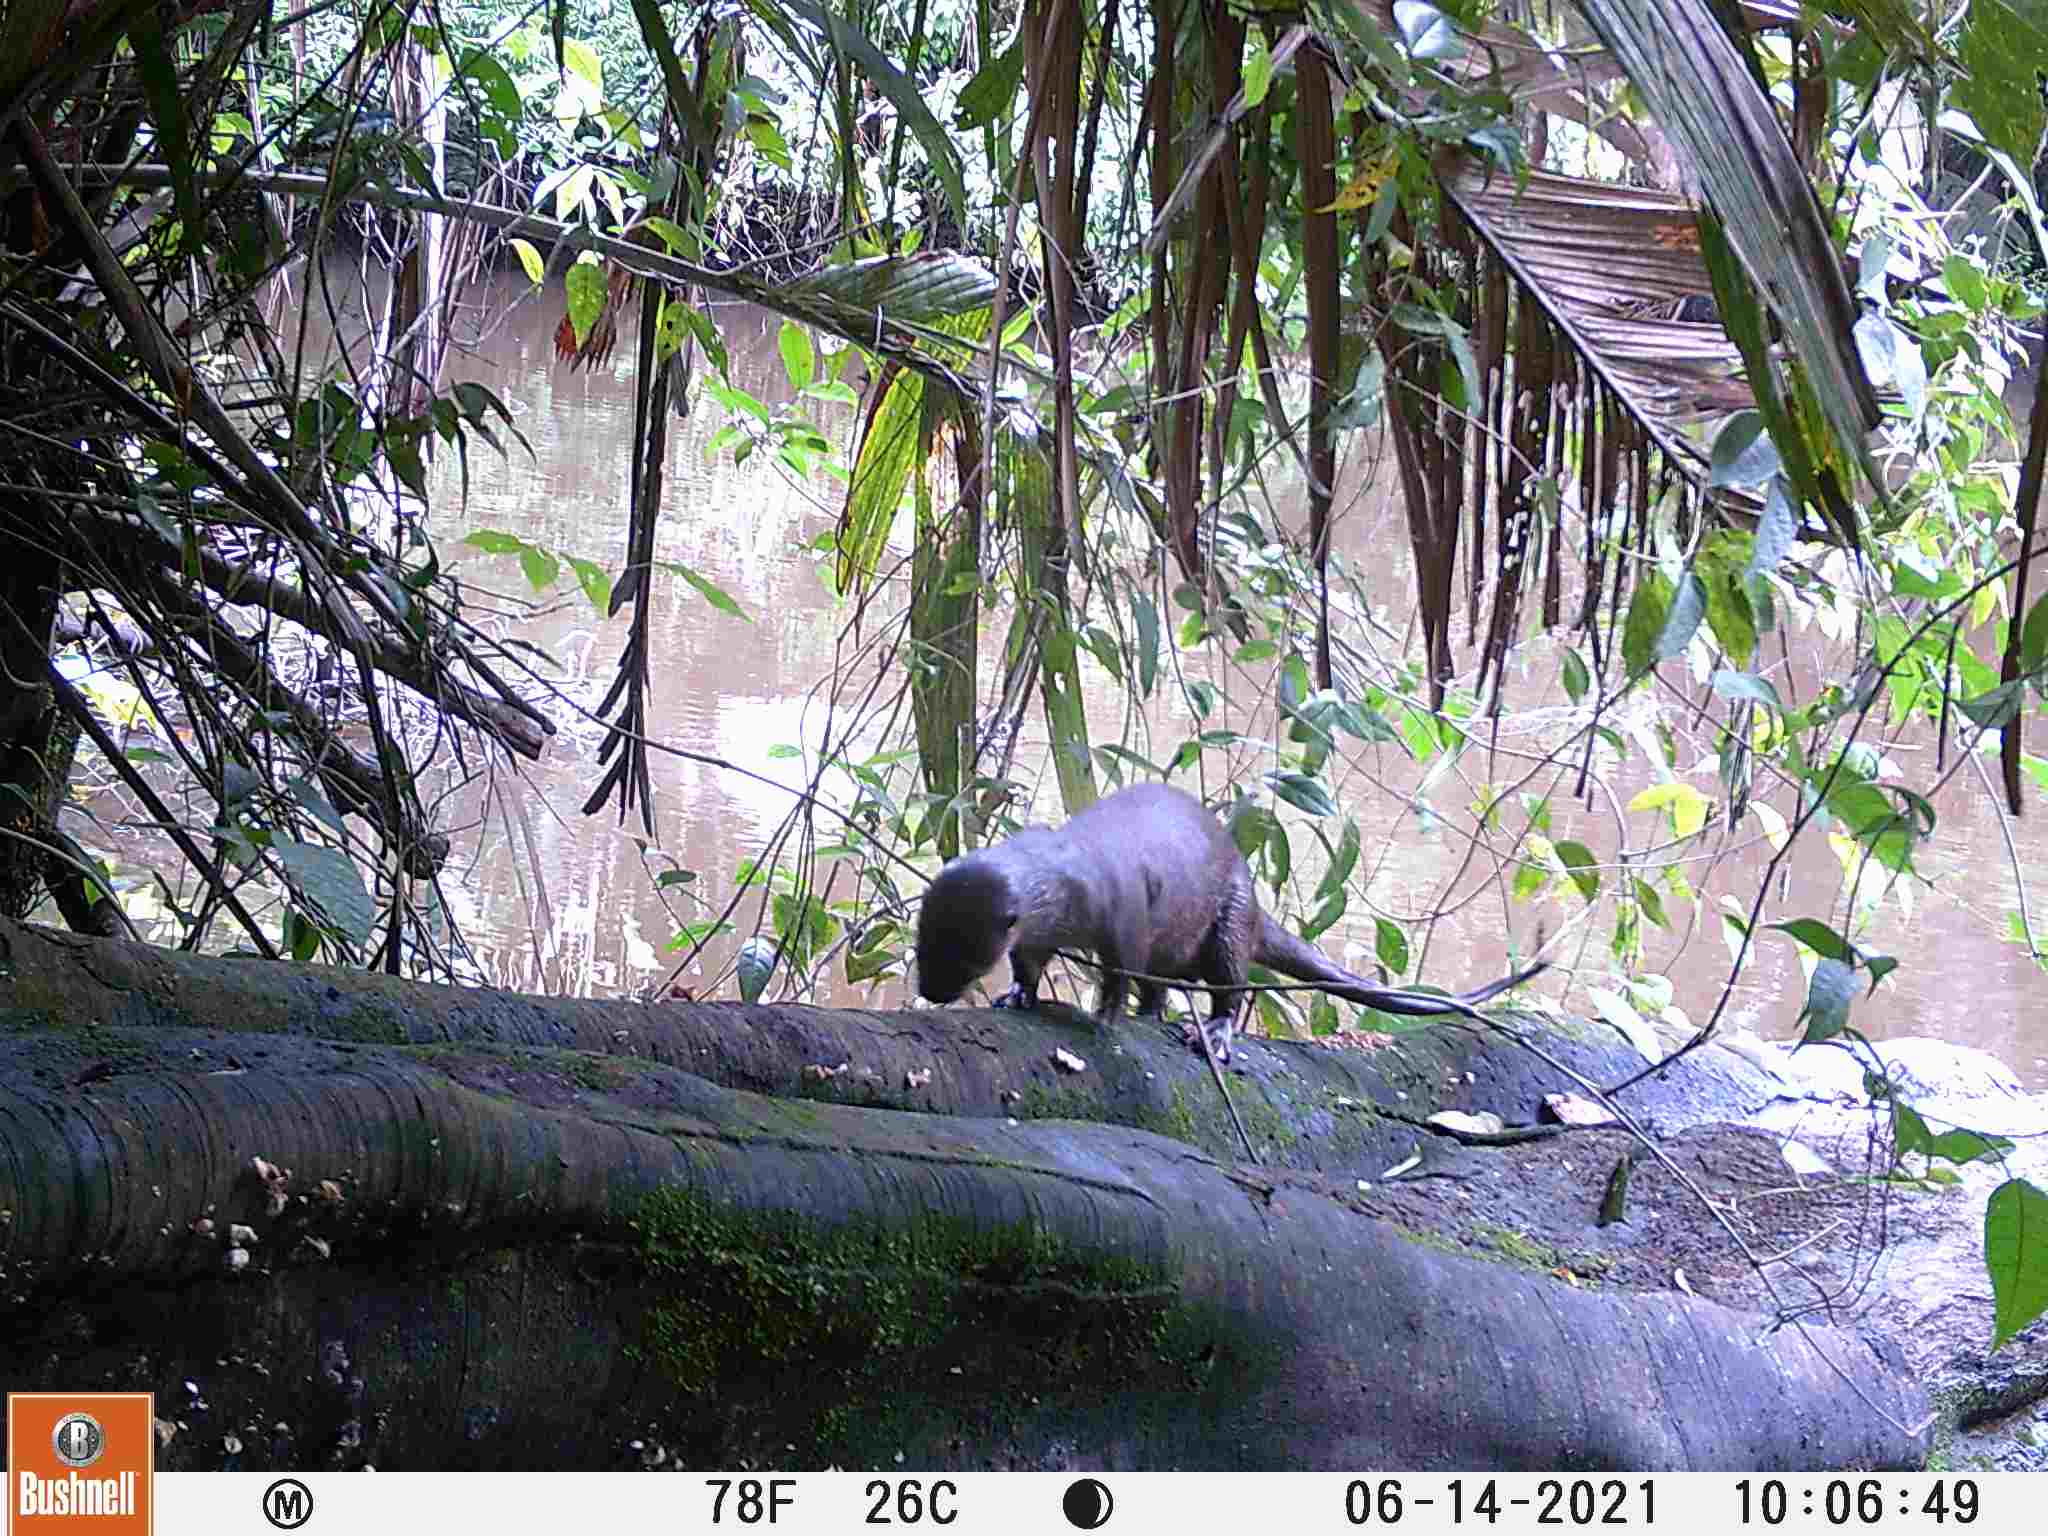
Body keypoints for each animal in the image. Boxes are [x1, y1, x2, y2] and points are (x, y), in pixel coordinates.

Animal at [921, 782, 1540, 1056]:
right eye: (925, 944)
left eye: (961, 952)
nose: (929, 991)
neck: (1068, 877)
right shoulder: (1036, 933)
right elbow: (1029, 962)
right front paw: (1017, 996)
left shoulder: (1125, 917)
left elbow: (1121, 969)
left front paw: (1104, 1016)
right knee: (1163, 987)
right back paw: (1156, 1015)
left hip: (1230, 922)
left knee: (1229, 985)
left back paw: (1211, 1030)